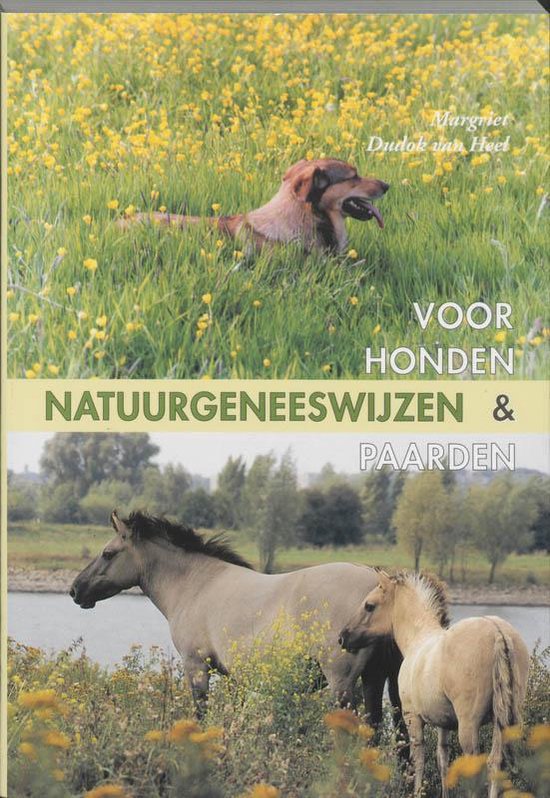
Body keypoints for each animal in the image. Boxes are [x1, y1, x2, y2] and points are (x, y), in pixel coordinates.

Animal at [70, 511, 404, 730]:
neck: (195, 584)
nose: (75, 590)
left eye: (108, 553)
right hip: (376, 679)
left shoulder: (196, 666)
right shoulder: (233, 676)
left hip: (343, 684)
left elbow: (201, 713)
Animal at [338, 570, 529, 798]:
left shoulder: (412, 717)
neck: (418, 638)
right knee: (495, 763)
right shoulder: (443, 722)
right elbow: (442, 760)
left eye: (369, 605)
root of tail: (498, 633)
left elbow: (419, 760)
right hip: (502, 722)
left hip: (469, 724)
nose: (343, 637)